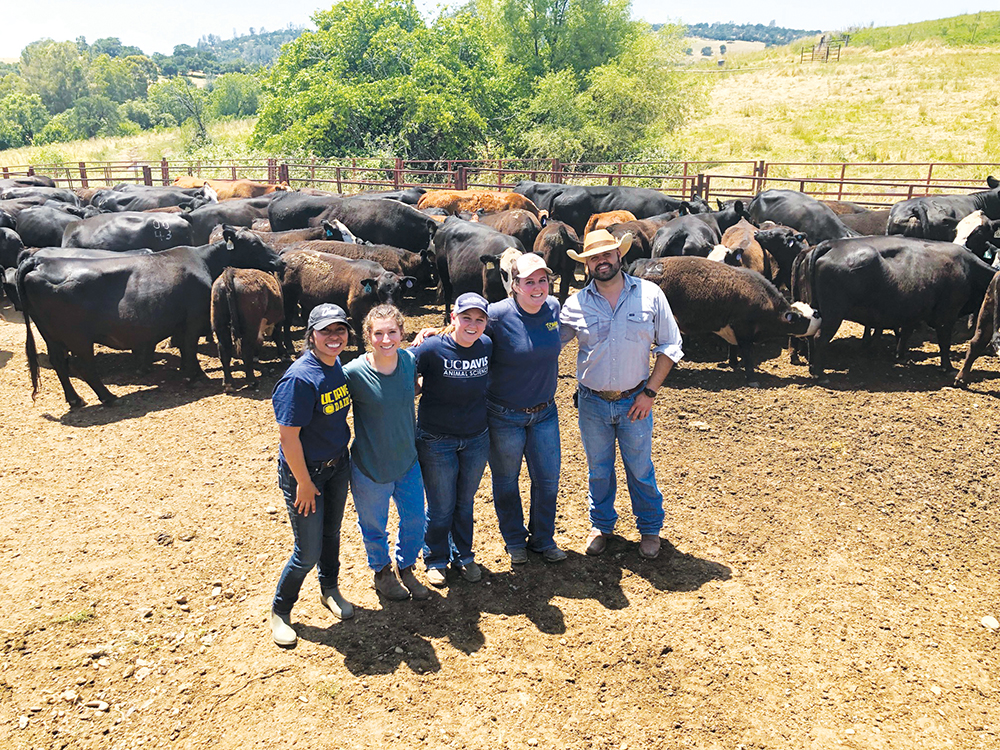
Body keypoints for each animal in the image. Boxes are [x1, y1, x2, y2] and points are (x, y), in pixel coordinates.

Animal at [19, 228, 286, 408]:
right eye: (254, 244)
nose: (280, 260)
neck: (204, 261)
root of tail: (37, 262)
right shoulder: (192, 318)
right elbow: (189, 347)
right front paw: (196, 375)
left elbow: (184, 348)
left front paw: (191, 371)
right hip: (78, 338)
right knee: (84, 366)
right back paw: (108, 397)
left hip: (52, 335)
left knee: (59, 363)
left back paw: (75, 399)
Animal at [632, 258, 820, 388]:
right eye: (802, 318)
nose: (818, 316)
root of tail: (645, 263)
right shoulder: (744, 332)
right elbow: (748, 356)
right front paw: (752, 379)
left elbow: (733, 348)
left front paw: (734, 364)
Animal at [792, 238, 996, 382]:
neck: (967, 268)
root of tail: (831, 244)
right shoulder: (947, 315)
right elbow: (944, 343)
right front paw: (948, 368)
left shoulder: (912, 312)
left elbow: (905, 334)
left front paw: (900, 356)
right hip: (833, 314)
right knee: (819, 338)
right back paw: (820, 373)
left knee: (810, 338)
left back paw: (812, 367)